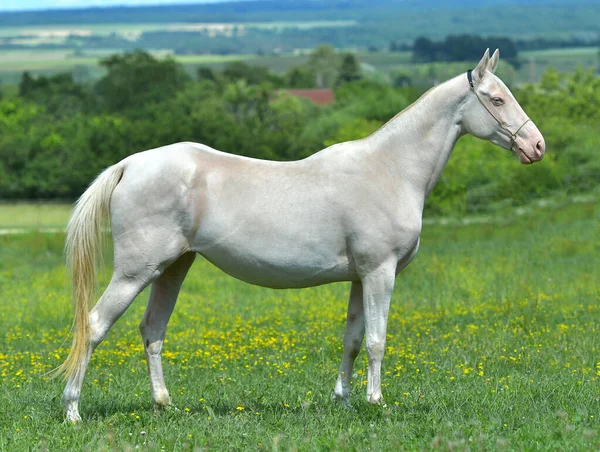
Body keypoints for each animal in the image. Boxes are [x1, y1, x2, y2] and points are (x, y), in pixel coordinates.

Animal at [56, 49, 544, 420]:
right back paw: (73, 410)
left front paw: (344, 400)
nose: (536, 146)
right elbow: (377, 340)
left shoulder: (359, 278)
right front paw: (376, 402)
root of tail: (130, 164)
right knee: (94, 326)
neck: (391, 168)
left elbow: (352, 340)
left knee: (152, 330)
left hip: (173, 268)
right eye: (497, 99)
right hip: (135, 272)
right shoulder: (380, 273)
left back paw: (164, 404)